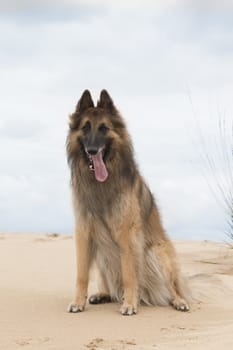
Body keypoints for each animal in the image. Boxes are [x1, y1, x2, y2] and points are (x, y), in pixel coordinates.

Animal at [66, 89, 189, 314]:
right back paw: (104, 294)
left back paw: (178, 301)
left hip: (158, 253)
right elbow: (82, 274)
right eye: (85, 127)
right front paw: (78, 302)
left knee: (172, 288)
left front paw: (130, 304)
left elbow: (129, 273)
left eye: (104, 128)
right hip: (103, 253)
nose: (92, 150)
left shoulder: (127, 233)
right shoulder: (84, 231)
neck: (102, 183)